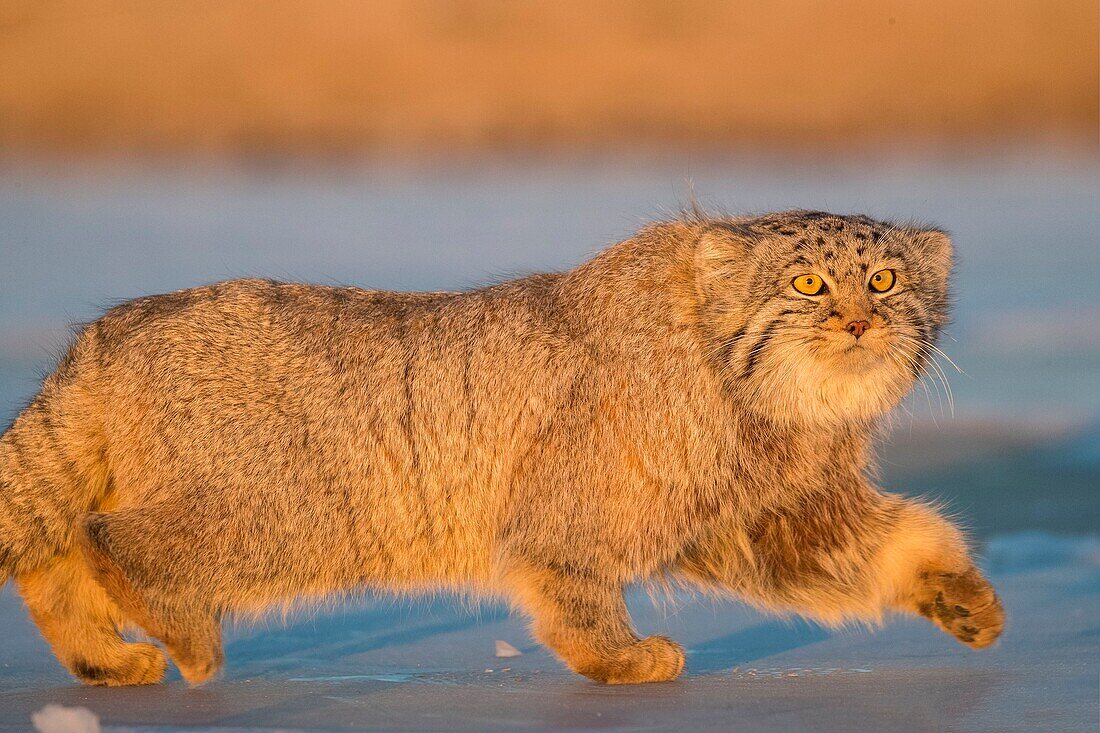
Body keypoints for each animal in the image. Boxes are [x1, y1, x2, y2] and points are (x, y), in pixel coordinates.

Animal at [0, 211, 1003, 686]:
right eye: (807, 284)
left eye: (886, 278)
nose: (861, 320)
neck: (757, 405)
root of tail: (108, 334)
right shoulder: (578, 513)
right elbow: (570, 589)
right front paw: (620, 659)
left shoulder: (759, 514)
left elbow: (877, 549)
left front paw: (959, 593)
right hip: (282, 511)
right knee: (105, 538)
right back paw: (184, 638)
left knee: (55, 553)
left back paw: (108, 661)